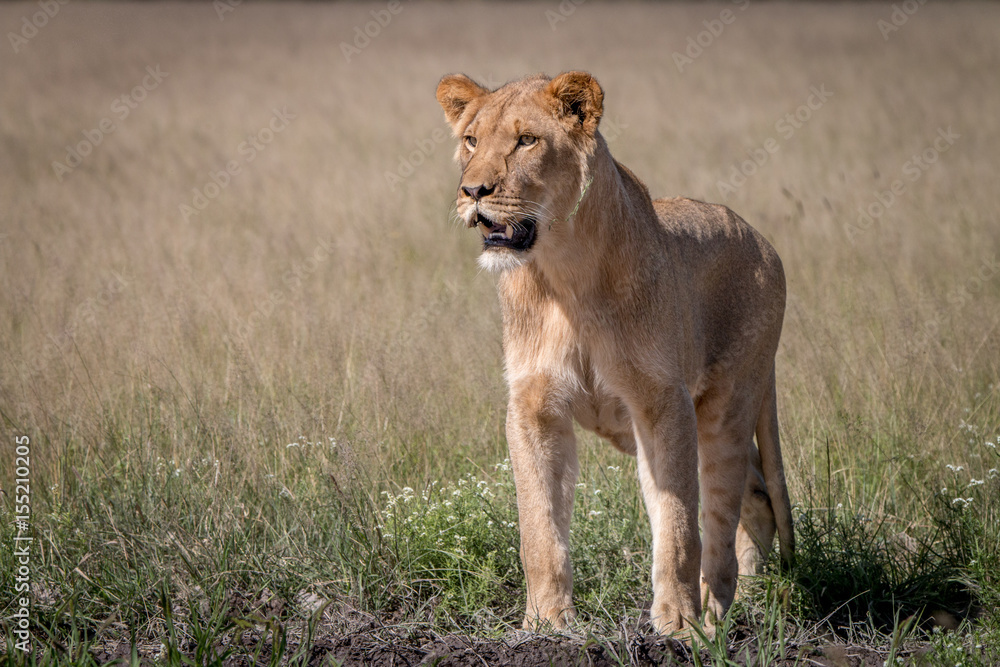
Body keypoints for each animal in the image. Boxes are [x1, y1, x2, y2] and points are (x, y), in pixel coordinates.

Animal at [436, 71, 794, 637]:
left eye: (526, 140)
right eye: (471, 140)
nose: (473, 191)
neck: (563, 273)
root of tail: (764, 241)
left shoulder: (662, 402)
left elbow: (677, 524)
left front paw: (678, 623)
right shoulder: (534, 407)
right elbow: (539, 529)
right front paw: (547, 621)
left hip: (726, 405)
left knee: (724, 502)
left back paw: (716, 613)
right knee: (756, 488)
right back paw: (751, 596)